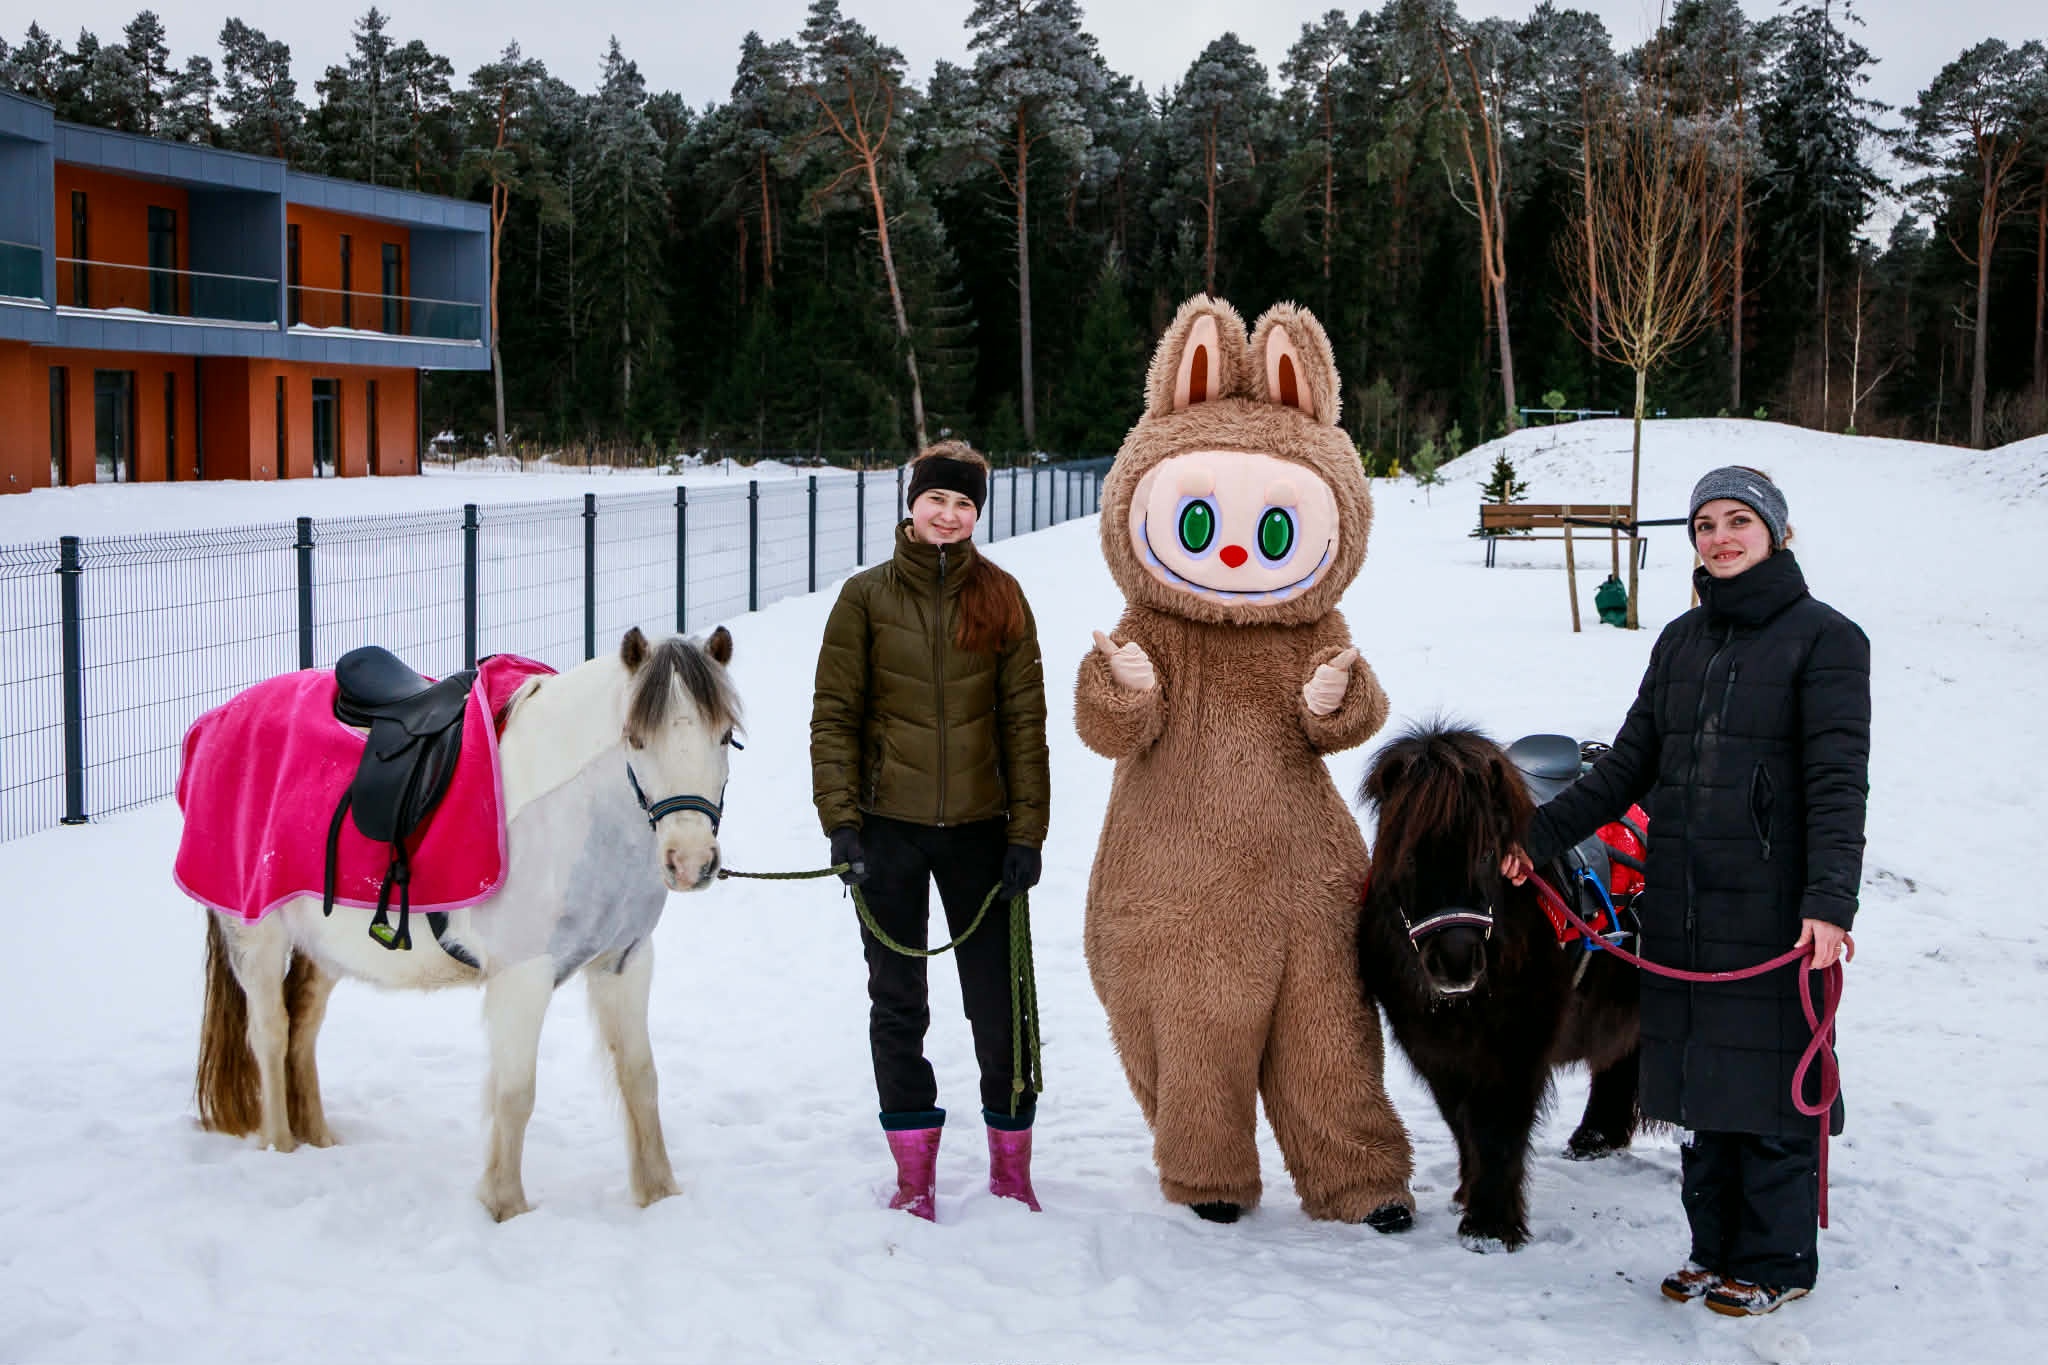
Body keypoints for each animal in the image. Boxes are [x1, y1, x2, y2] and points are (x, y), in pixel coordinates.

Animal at [190, 625, 741, 1221]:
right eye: (635, 739)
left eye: (725, 735)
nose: (690, 861)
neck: (574, 816)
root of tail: (218, 719)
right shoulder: (522, 976)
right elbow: (515, 1093)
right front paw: (506, 1207)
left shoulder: (626, 960)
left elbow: (641, 1078)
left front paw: (660, 1195)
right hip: (256, 934)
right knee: (269, 1034)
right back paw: (281, 1148)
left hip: (325, 948)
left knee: (302, 1028)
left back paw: (319, 1139)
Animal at [1355, 721, 1641, 1252]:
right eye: (1409, 855)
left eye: (1488, 853)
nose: (1455, 962)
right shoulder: (1433, 1048)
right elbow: (1461, 1122)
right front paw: (1470, 1197)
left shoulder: (1516, 1047)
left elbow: (1497, 1126)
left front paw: (1489, 1228)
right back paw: (1595, 1139)